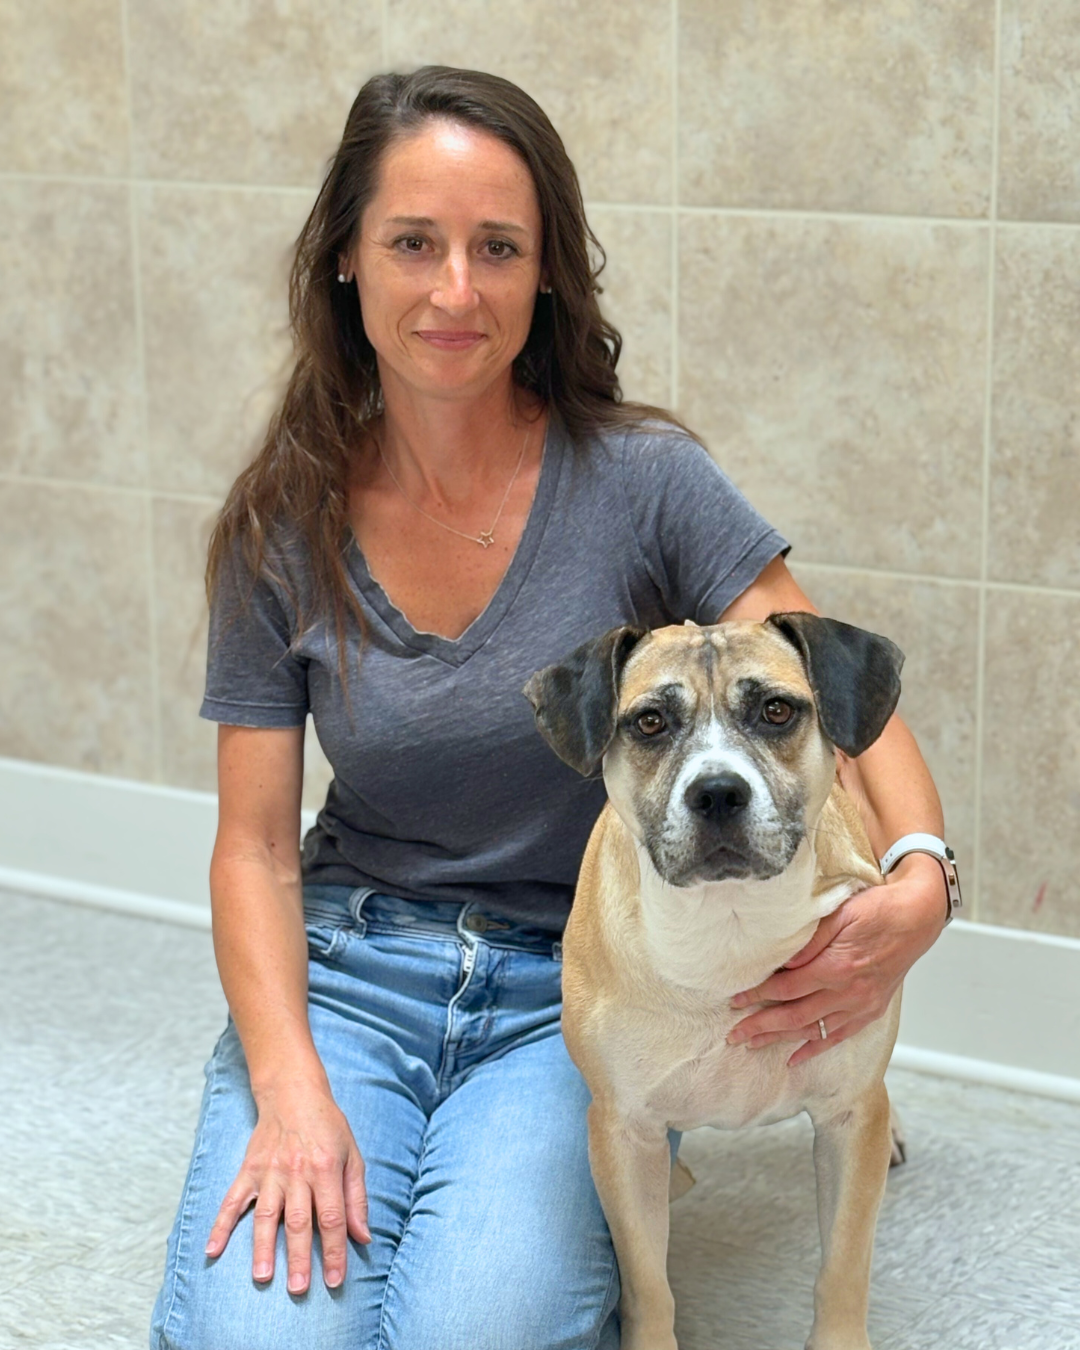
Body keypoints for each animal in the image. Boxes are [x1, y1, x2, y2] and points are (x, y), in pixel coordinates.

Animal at [524, 612, 905, 1350]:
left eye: (776, 710)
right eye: (649, 722)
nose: (719, 792)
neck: (728, 926)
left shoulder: (848, 1118)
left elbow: (843, 1266)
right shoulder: (626, 1133)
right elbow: (648, 1286)